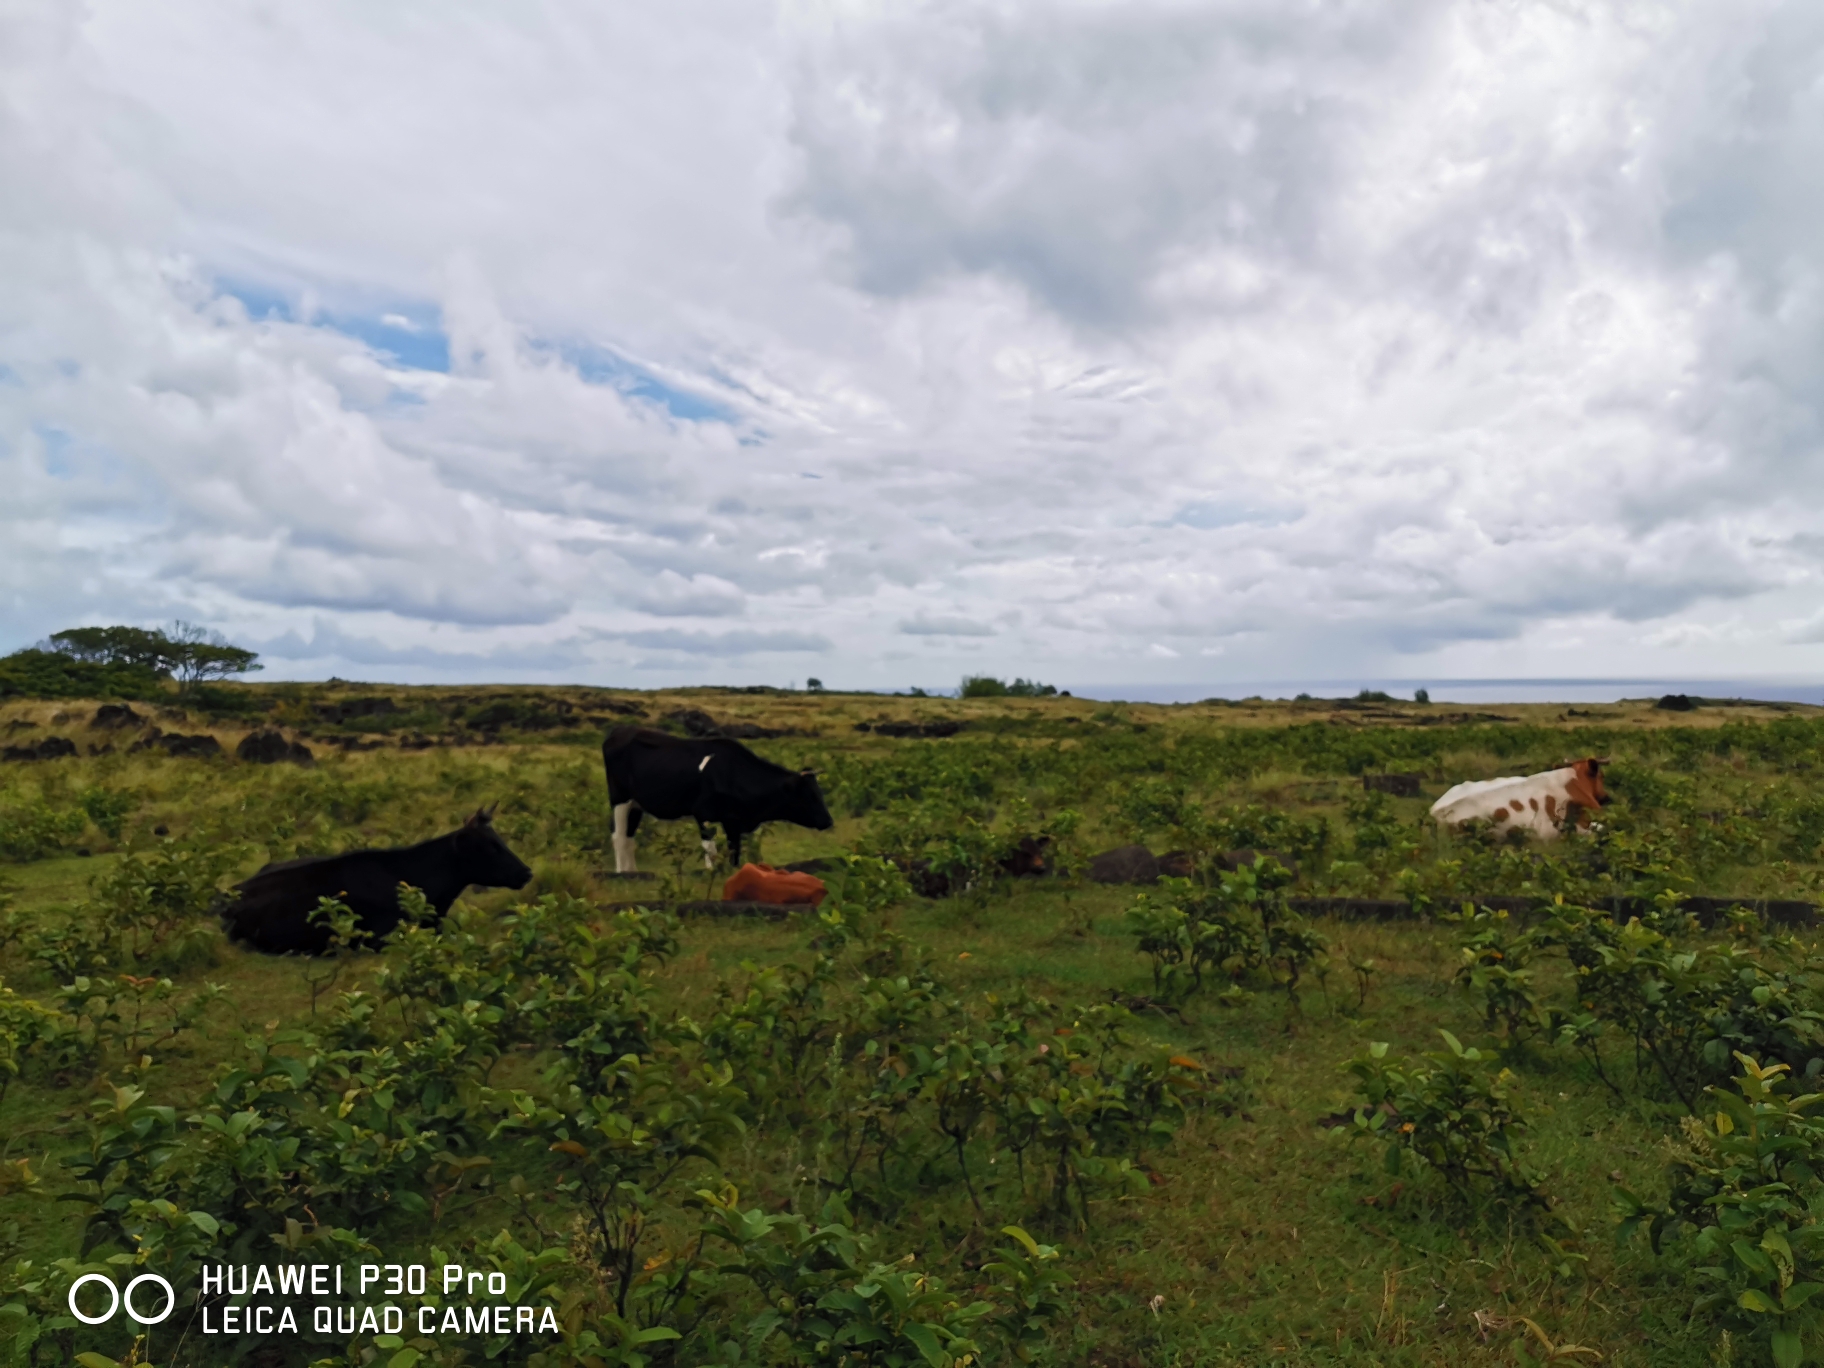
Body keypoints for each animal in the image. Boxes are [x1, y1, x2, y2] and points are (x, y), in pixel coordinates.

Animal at [605, 722, 835, 871]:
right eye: (809, 796)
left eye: (819, 792)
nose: (828, 821)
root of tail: (620, 730)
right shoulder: (703, 812)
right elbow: (711, 850)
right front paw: (711, 872)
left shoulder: (733, 820)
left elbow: (735, 851)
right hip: (620, 799)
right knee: (618, 836)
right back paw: (622, 873)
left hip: (636, 804)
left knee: (628, 837)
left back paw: (632, 871)